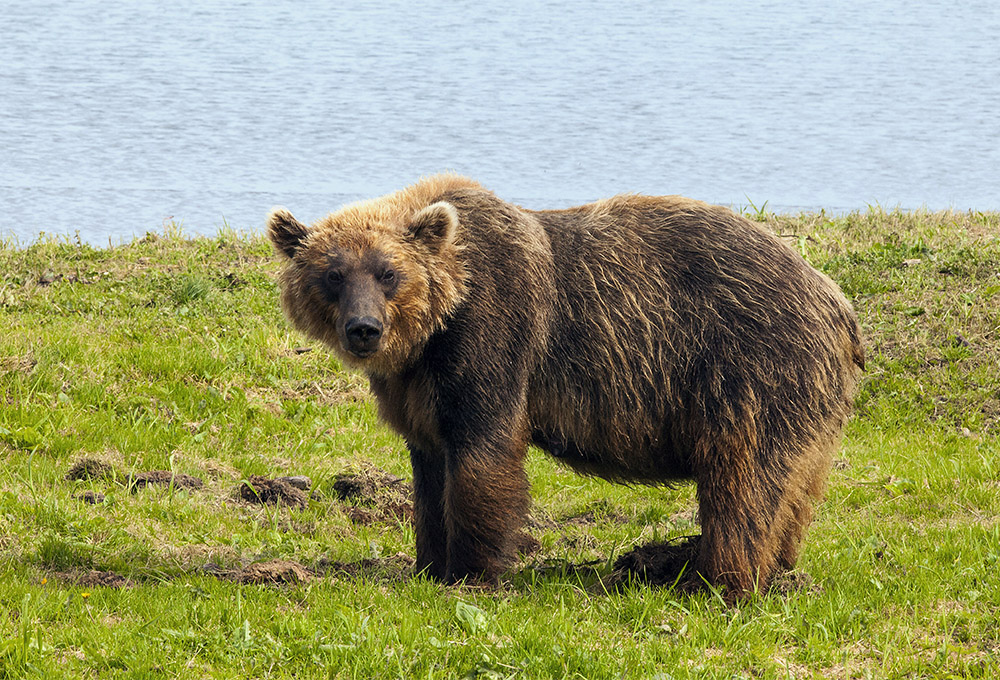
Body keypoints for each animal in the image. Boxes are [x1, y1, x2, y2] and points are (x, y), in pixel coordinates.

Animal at [270, 174, 864, 596]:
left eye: (388, 272)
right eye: (332, 275)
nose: (364, 329)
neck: (437, 326)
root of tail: (836, 298)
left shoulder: (493, 333)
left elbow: (483, 452)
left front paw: (473, 570)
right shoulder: (416, 385)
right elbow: (430, 463)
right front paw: (428, 563)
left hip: (748, 364)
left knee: (743, 475)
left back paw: (717, 578)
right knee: (793, 483)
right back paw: (777, 567)